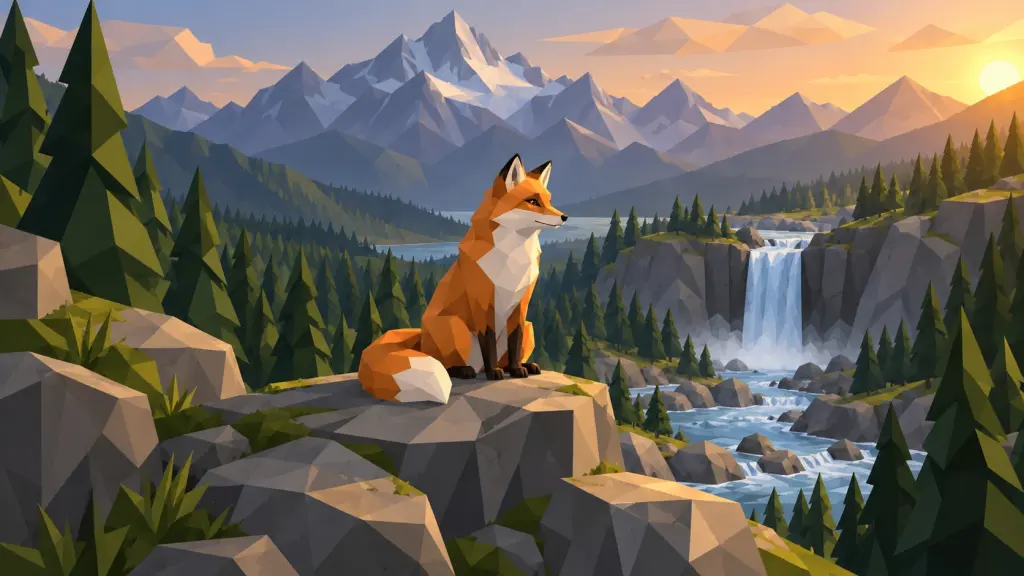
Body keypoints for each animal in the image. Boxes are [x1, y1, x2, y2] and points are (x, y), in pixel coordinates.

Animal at [358, 154, 567, 403]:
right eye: (533, 201)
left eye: (549, 200)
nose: (564, 217)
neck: (512, 259)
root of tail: (421, 338)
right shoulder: (483, 302)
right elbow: (489, 343)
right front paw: (493, 372)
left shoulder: (520, 305)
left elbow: (514, 343)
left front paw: (517, 369)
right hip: (455, 325)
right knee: (447, 364)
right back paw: (467, 370)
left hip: (530, 326)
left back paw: (521, 366)